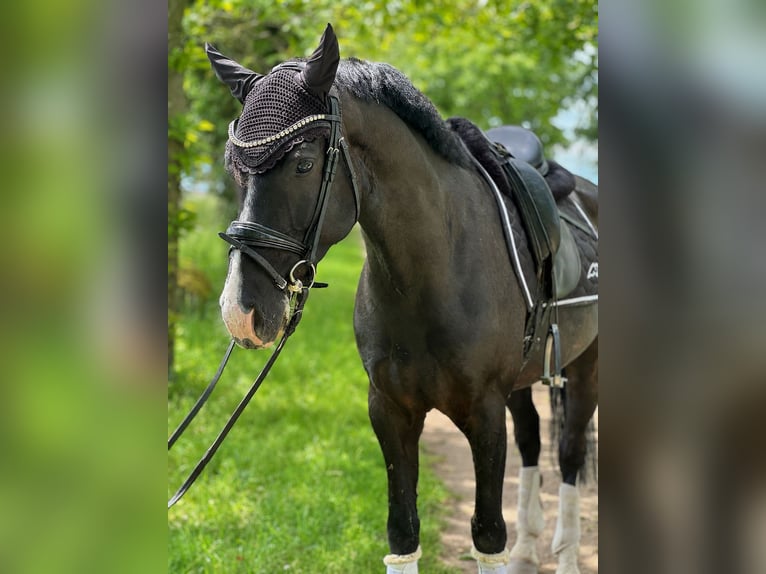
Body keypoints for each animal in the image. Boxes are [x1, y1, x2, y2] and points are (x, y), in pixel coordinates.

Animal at [206, 24, 598, 574]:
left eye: (303, 163)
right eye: (236, 169)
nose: (240, 311)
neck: (434, 272)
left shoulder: (484, 413)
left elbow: (487, 535)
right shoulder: (390, 411)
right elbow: (403, 532)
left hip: (585, 368)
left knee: (568, 453)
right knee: (532, 440)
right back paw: (528, 552)